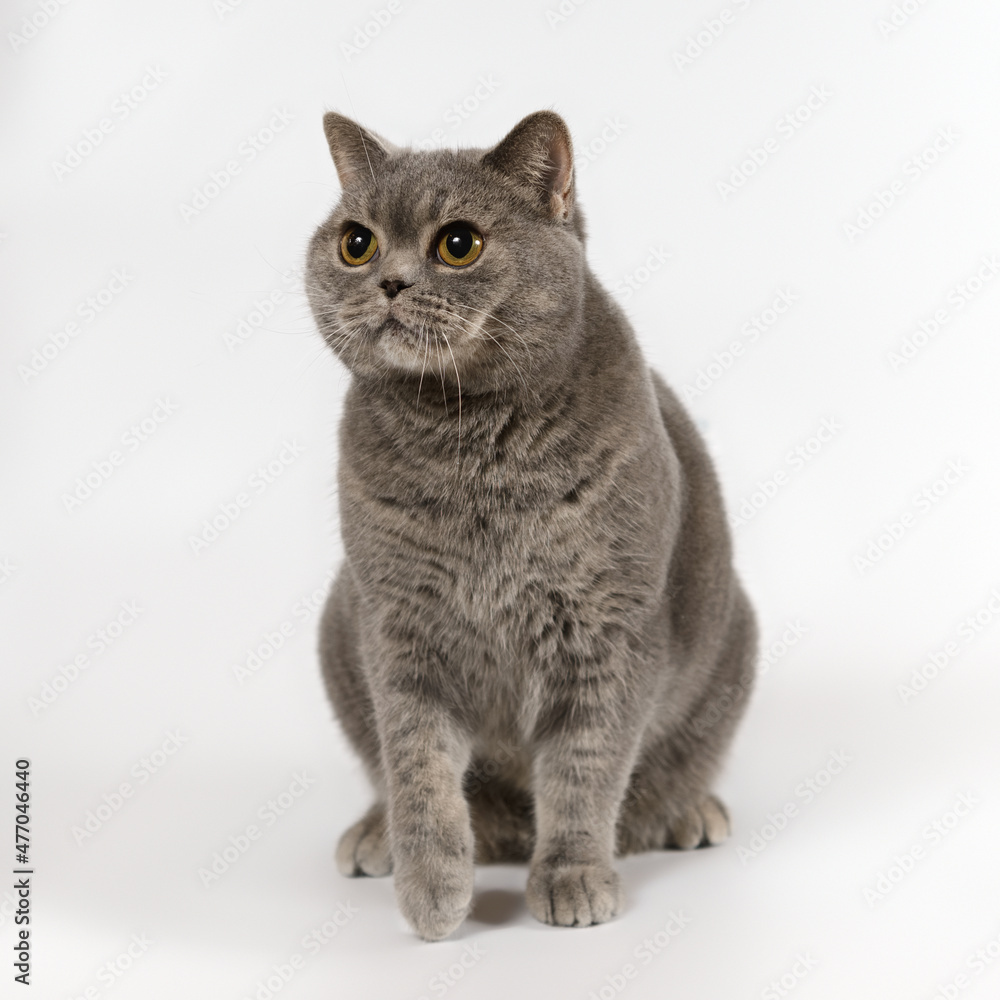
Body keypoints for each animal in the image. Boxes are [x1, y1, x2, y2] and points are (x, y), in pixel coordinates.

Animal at [304, 113, 756, 940]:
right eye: (357, 243)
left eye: (459, 244)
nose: (390, 281)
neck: (467, 441)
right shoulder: (399, 628)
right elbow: (417, 766)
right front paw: (433, 890)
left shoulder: (608, 629)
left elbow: (585, 766)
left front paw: (573, 877)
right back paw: (379, 834)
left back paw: (686, 813)